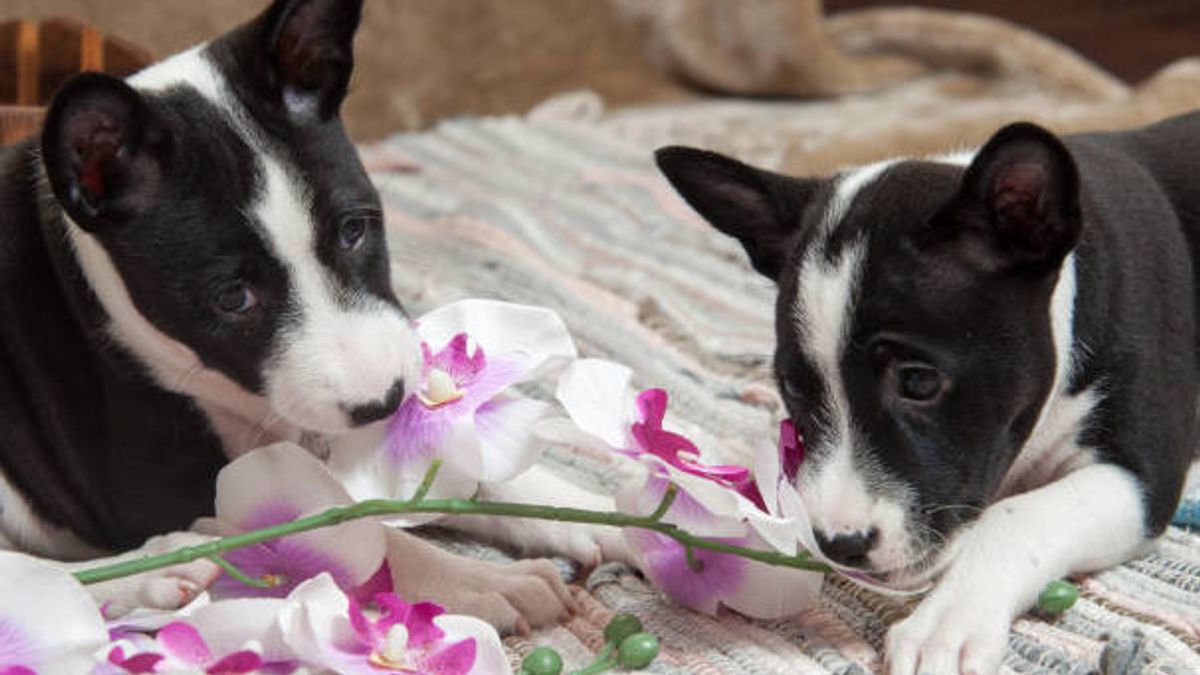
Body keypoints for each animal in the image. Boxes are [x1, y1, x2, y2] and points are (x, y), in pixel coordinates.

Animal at [0, 0, 590, 624]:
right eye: (232, 297)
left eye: (354, 231)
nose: (384, 401)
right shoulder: (157, 485)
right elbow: (361, 534)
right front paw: (478, 580)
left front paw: (596, 511)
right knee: (32, 577)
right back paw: (162, 569)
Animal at [657, 112, 1200, 667]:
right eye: (793, 388)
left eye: (918, 381)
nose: (838, 544)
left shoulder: (1144, 478)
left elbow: (1017, 514)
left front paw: (949, 621)